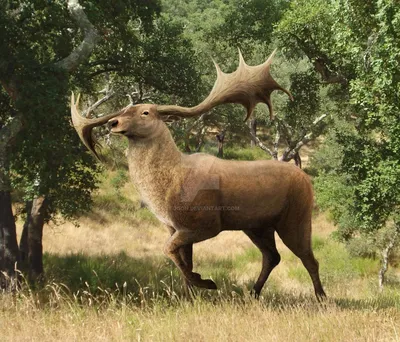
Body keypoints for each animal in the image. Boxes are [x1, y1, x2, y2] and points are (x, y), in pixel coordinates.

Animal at [71, 48, 324, 300]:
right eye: (124, 110)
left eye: (145, 112)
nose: (113, 122)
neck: (166, 190)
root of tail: (307, 179)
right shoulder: (174, 226)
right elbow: (182, 259)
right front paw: (190, 294)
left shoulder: (206, 223)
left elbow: (169, 249)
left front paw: (206, 282)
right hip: (257, 226)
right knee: (272, 256)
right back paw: (253, 293)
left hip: (296, 217)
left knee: (308, 258)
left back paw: (321, 297)